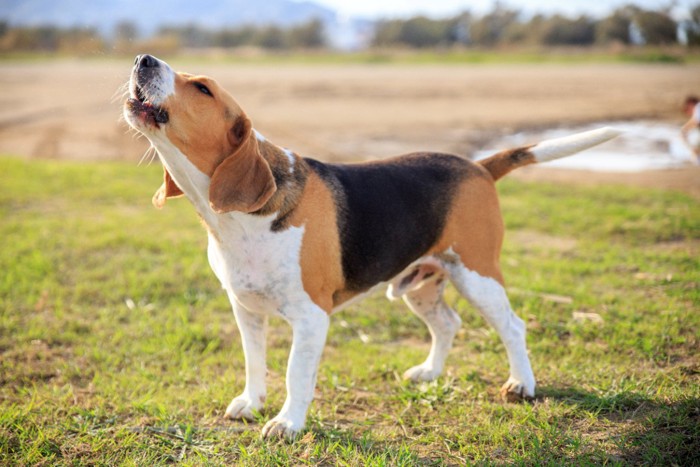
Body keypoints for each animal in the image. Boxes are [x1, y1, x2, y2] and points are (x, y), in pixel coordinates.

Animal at [123, 54, 620, 438]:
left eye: (202, 89)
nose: (143, 60)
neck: (235, 221)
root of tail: (477, 166)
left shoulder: (312, 318)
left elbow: (296, 375)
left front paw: (287, 423)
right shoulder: (245, 309)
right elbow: (253, 362)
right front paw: (252, 402)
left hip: (477, 275)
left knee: (513, 326)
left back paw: (522, 385)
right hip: (419, 283)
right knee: (448, 323)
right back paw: (430, 373)